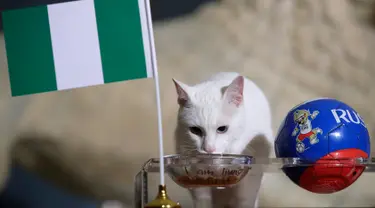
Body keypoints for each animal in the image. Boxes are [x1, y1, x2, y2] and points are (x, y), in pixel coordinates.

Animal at [173, 72, 274, 208]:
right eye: (195, 130)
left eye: (222, 129)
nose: (209, 149)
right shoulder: (196, 180)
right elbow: (202, 199)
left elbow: (245, 198)